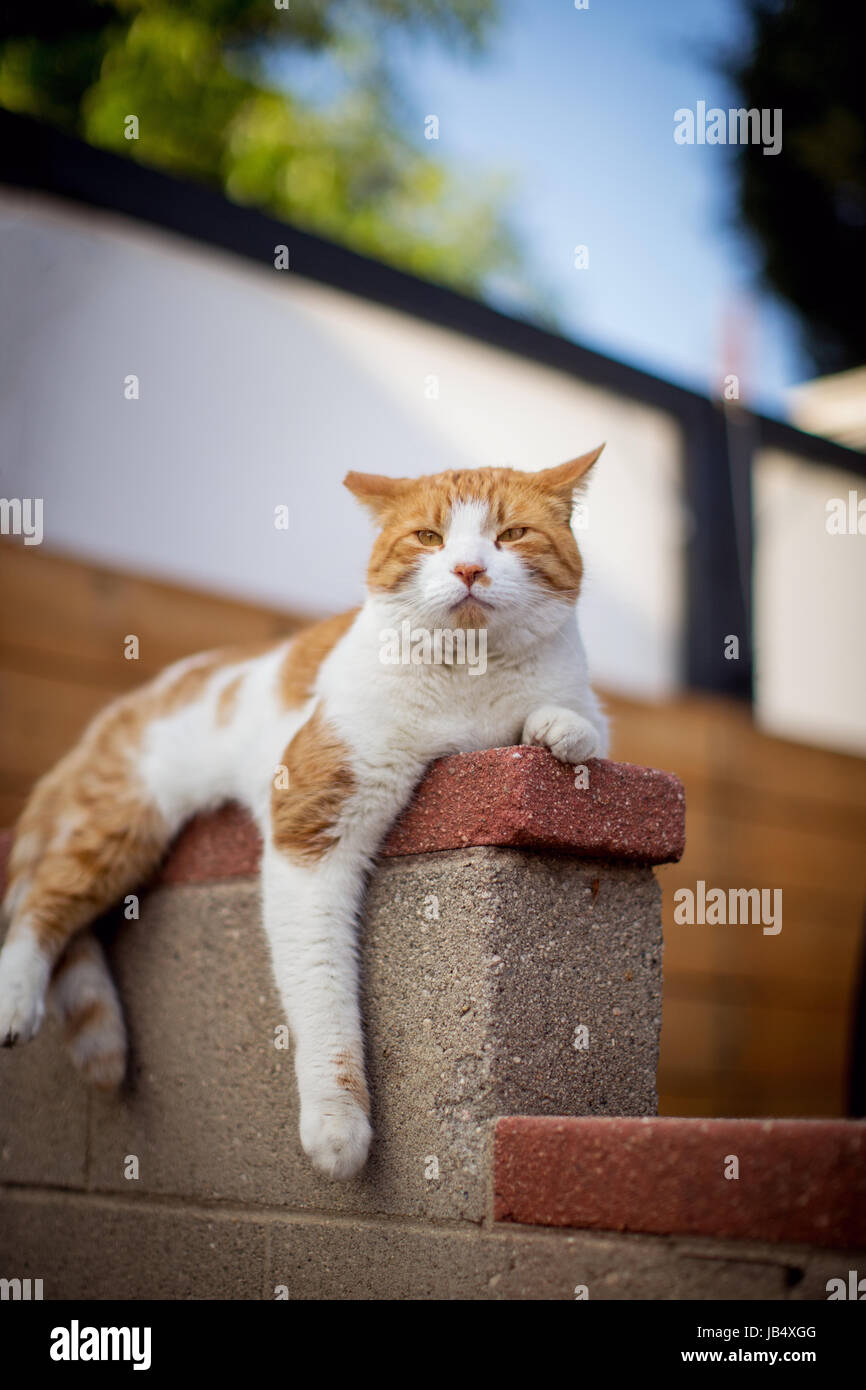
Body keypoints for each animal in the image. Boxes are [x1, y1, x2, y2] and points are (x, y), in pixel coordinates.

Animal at [0, 447, 608, 1184]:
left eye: (511, 535)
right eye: (428, 538)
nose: (468, 569)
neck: (467, 682)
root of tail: (117, 710)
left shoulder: (572, 700)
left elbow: (580, 722)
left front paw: (558, 730)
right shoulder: (309, 826)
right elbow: (321, 990)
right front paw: (337, 1125)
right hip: (122, 823)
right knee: (43, 901)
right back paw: (15, 998)